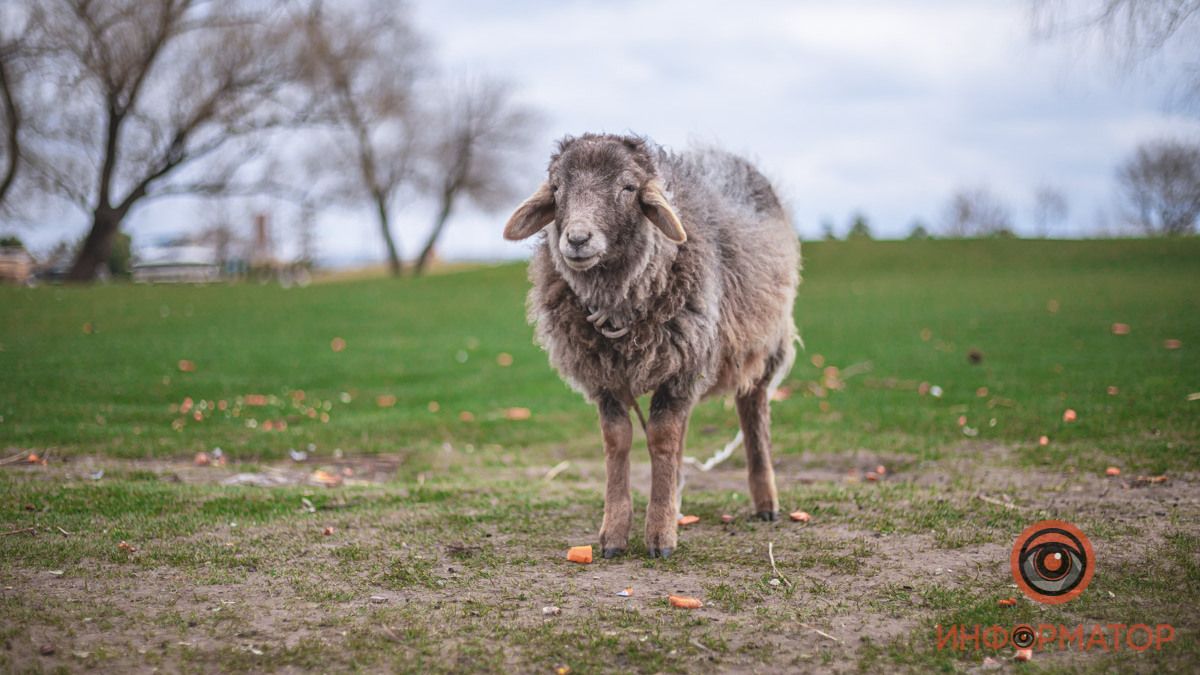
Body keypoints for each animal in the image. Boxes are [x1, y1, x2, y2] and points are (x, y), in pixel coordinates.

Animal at [504, 132, 796, 557]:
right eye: (556, 189)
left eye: (628, 188)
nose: (577, 239)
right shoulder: (606, 377)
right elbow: (618, 440)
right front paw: (614, 533)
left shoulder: (682, 365)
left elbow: (660, 438)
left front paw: (659, 534)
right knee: (682, 430)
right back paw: (677, 497)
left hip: (761, 346)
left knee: (752, 410)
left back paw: (765, 503)